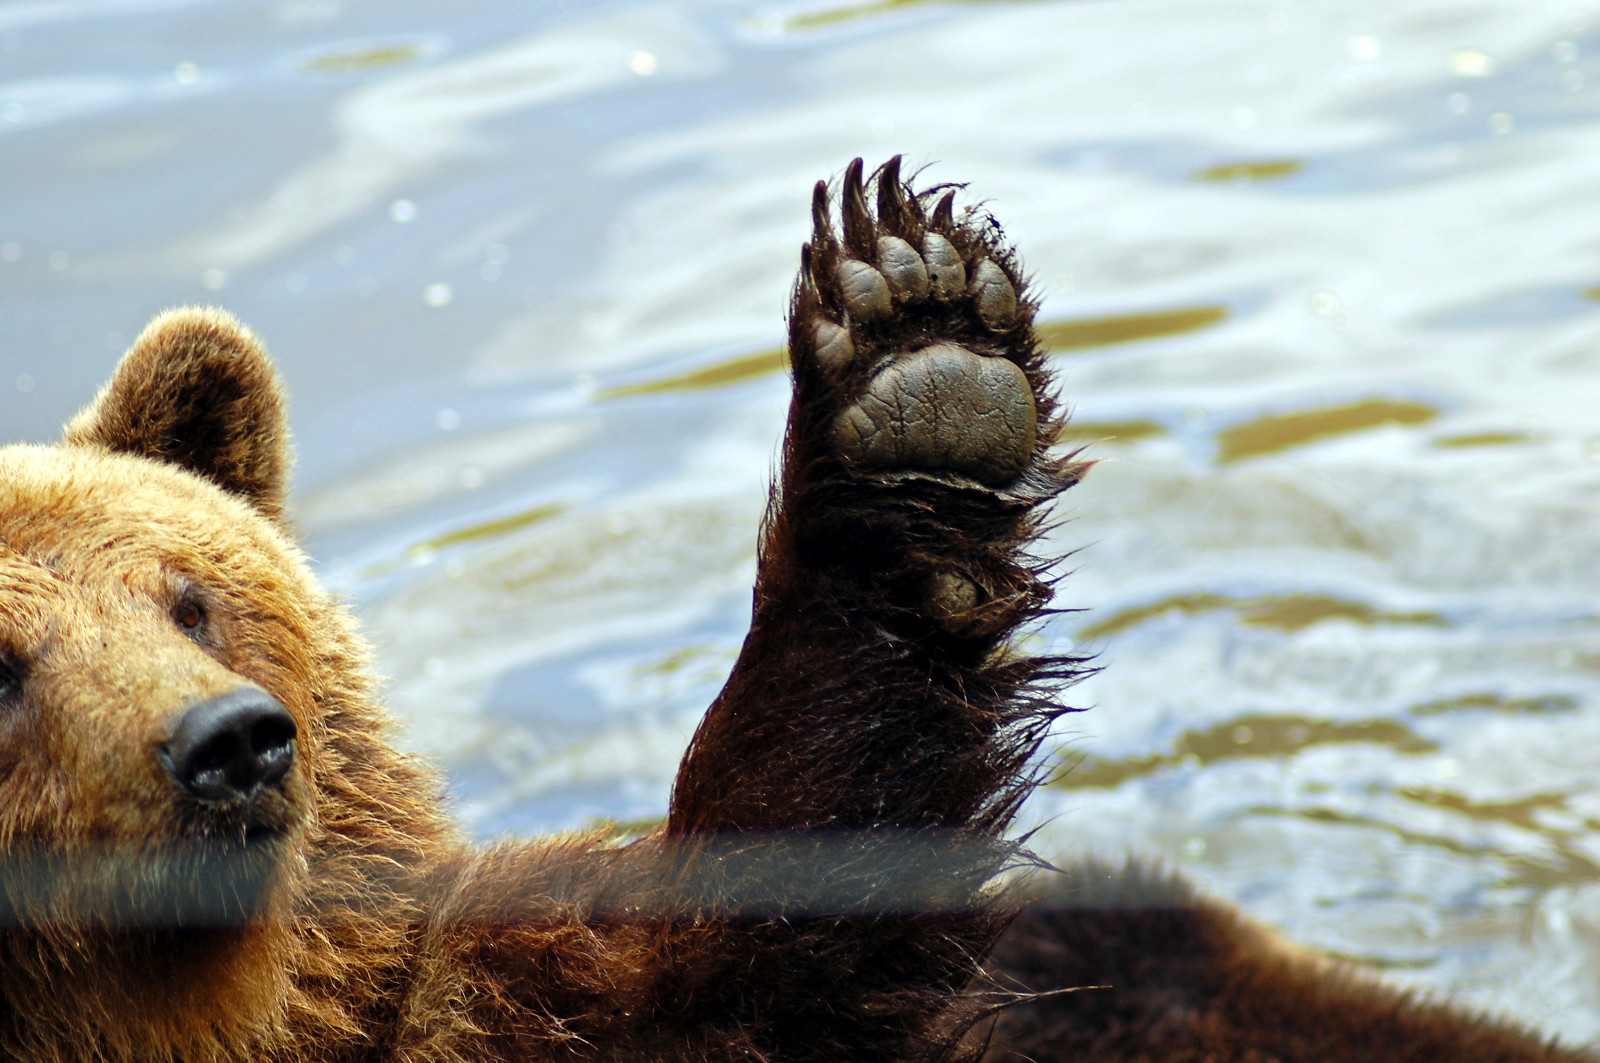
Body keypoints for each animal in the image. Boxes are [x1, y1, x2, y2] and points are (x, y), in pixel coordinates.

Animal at [0, 156, 1588, 1063]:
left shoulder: (512, 1002)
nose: (233, 743)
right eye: (9, 662)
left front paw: (915, 350)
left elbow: (774, 919)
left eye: (194, 601)